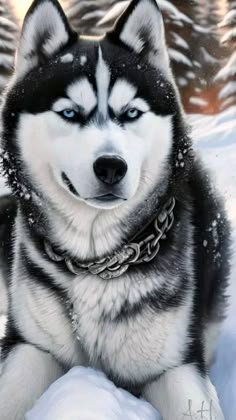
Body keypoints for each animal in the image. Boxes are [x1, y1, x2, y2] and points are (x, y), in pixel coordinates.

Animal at [0, 0, 230, 418]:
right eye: (70, 113)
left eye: (131, 113)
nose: (111, 166)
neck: (95, 265)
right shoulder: (30, 346)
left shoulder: (175, 366)